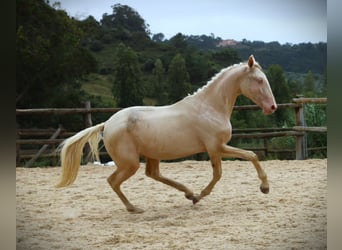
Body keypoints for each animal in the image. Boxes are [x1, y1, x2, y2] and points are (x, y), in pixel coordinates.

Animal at [55, 54, 276, 213]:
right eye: (259, 80)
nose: (272, 107)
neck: (210, 107)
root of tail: (107, 124)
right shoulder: (216, 147)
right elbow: (236, 164)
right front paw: (264, 187)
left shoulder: (216, 148)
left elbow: (244, 159)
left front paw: (197, 196)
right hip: (130, 163)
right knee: (113, 181)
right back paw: (134, 208)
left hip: (151, 155)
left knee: (152, 174)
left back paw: (188, 193)